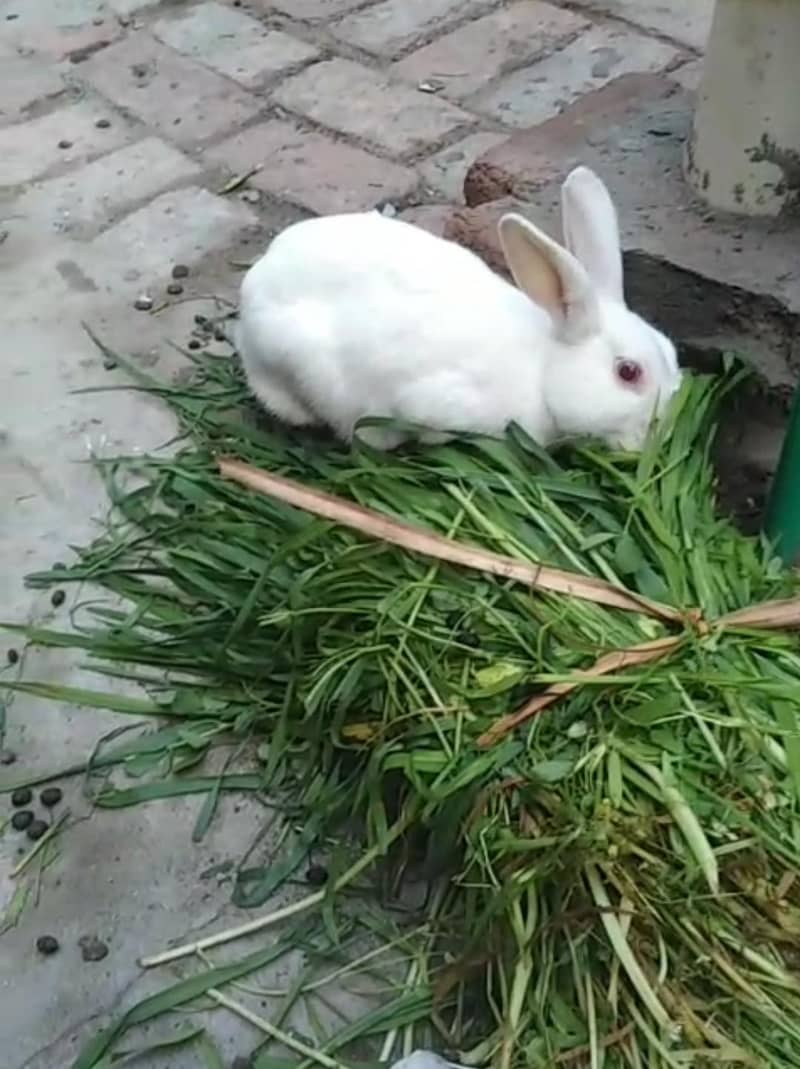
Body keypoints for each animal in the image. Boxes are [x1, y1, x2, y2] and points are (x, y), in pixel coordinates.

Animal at [235, 166, 681, 452]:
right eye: (628, 372)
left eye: (672, 353)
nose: (653, 436)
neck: (542, 371)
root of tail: (255, 281)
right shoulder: (436, 404)